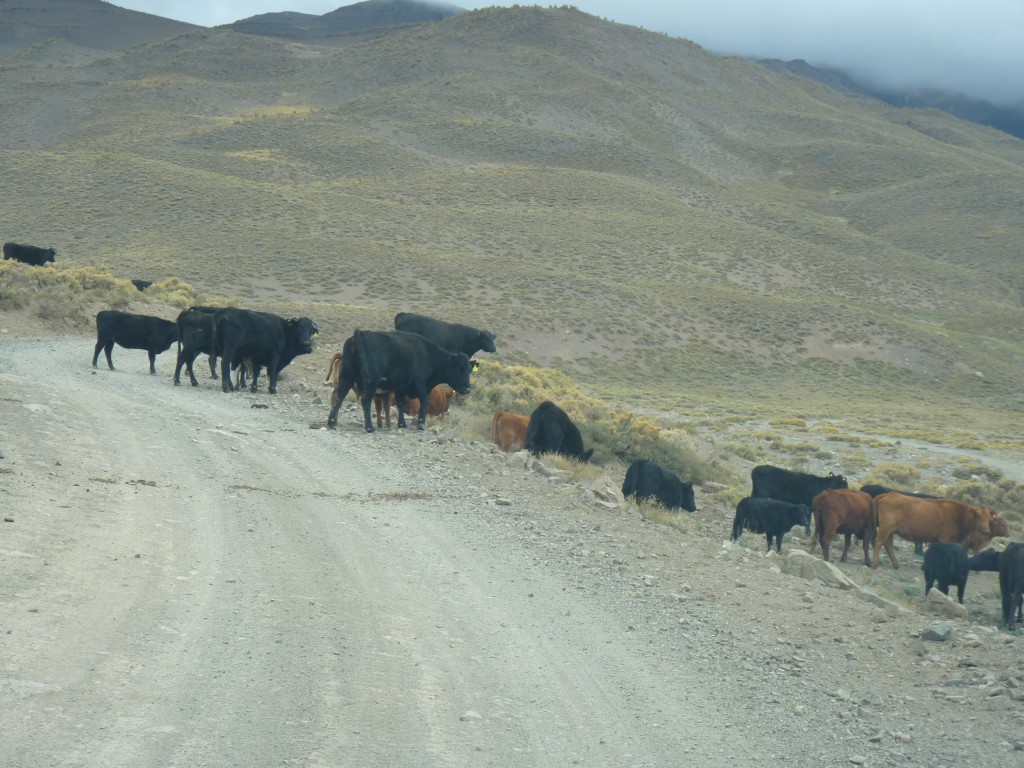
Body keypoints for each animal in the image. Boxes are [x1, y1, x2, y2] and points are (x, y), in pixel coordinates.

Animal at [325, 327, 473, 430]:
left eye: (470, 370)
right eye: (460, 369)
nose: (468, 389)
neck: (428, 355)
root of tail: (360, 334)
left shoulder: (400, 388)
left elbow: (401, 404)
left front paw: (402, 424)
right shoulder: (420, 385)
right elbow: (424, 402)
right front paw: (421, 424)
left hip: (347, 377)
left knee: (339, 396)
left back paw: (332, 423)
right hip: (371, 382)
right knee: (365, 400)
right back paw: (369, 427)